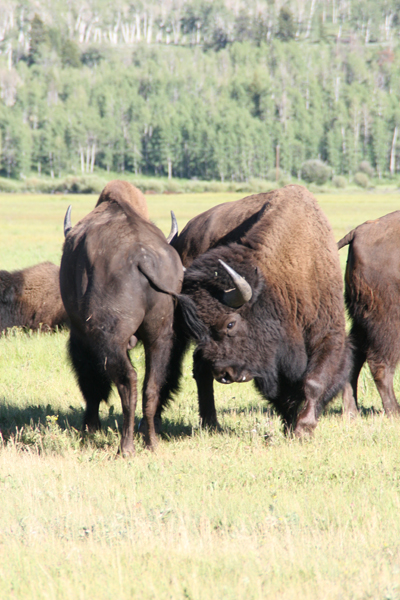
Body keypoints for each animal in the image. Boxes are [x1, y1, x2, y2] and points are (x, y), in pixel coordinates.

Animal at [59, 180, 183, 452]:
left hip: (110, 339)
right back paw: (151, 442)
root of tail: (141, 257)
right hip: (160, 337)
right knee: (151, 385)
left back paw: (125, 448)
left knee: (128, 380)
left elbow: (91, 382)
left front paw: (90, 427)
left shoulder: (80, 336)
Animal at [161, 185, 352, 434]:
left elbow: (313, 383)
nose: (224, 374)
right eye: (198, 329)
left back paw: (211, 424)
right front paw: (301, 428)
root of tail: (185, 233)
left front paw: (298, 428)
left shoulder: (328, 333)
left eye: (230, 323)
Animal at [340, 212, 400, 418]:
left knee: (354, 355)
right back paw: (394, 412)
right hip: (388, 318)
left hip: (362, 316)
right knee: (380, 364)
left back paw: (351, 412)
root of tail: (358, 232)